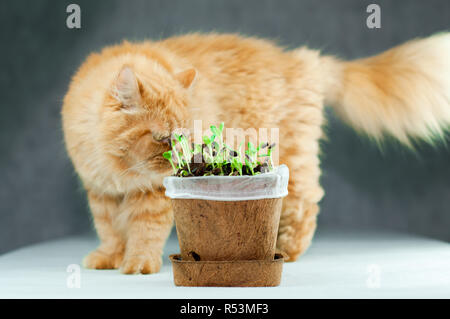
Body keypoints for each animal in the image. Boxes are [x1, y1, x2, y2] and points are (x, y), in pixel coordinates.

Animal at [62, 32, 450, 274]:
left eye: (186, 138)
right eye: (164, 139)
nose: (183, 159)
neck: (117, 168)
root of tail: (302, 60)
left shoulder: (155, 194)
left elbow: (144, 231)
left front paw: (138, 265)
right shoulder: (100, 193)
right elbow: (110, 231)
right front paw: (109, 258)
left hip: (291, 154)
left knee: (306, 202)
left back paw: (288, 250)